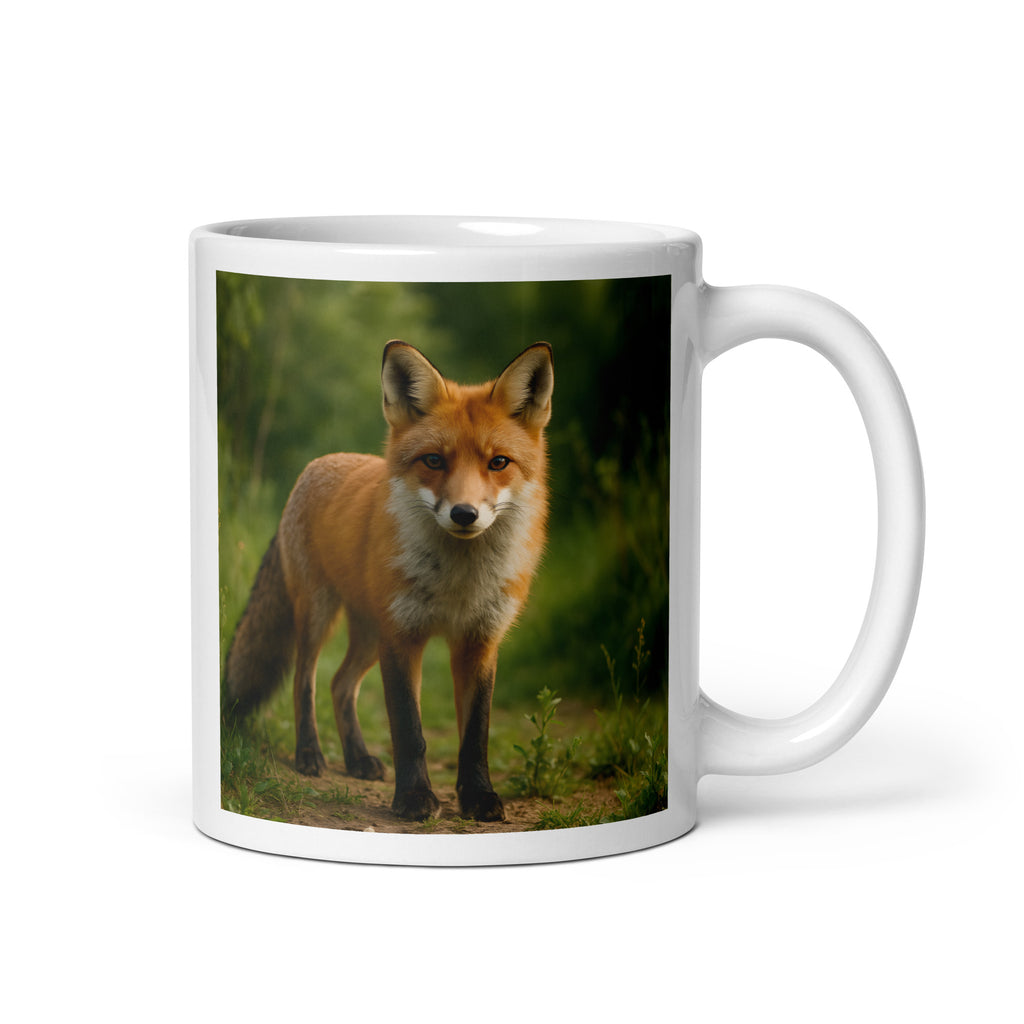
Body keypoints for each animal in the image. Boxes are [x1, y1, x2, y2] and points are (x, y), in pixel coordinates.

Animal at [224, 340, 554, 822]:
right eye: (433, 460)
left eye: (499, 463)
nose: (464, 514)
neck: (458, 581)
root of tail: (319, 464)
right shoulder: (402, 635)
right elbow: (408, 729)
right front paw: (414, 799)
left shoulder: (479, 641)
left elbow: (475, 736)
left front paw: (478, 798)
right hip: (321, 615)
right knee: (306, 681)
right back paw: (310, 755)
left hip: (367, 632)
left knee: (340, 684)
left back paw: (358, 758)